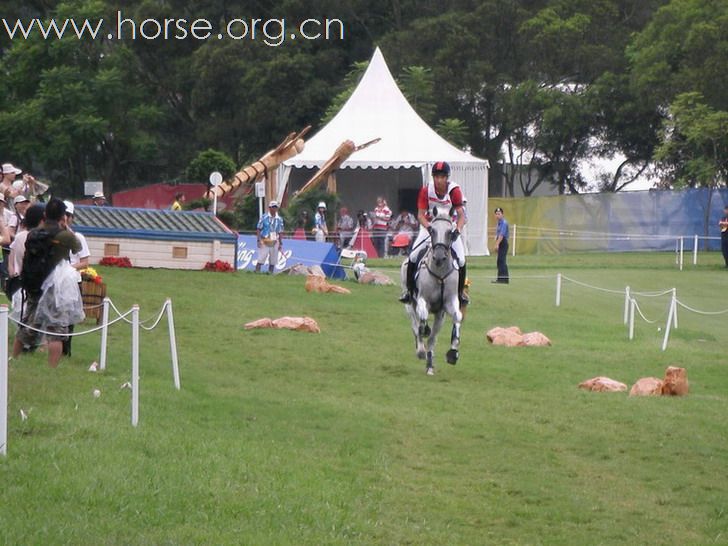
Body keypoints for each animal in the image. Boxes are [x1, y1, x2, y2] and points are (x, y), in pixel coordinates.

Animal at [400, 208, 464, 374]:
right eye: (432, 230)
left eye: (450, 232)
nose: (439, 257)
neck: (440, 273)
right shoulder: (422, 300)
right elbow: (422, 318)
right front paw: (424, 331)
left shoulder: (449, 303)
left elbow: (457, 317)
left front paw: (453, 353)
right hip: (409, 305)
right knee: (415, 326)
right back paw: (421, 350)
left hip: (440, 316)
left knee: (432, 339)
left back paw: (429, 364)